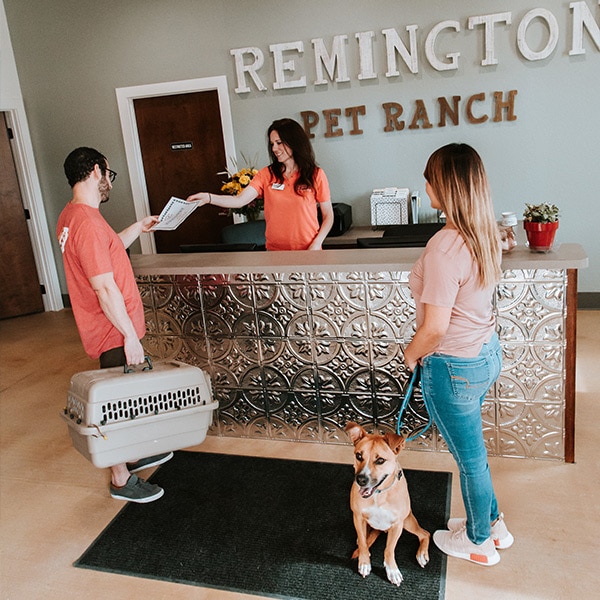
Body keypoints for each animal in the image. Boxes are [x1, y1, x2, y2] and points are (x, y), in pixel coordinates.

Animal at [344, 422, 428, 584]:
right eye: (359, 456)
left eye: (380, 460)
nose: (361, 480)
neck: (379, 494)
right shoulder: (357, 517)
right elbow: (363, 543)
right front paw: (364, 563)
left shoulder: (397, 525)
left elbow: (389, 549)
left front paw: (392, 571)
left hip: (407, 521)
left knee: (425, 534)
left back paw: (421, 554)